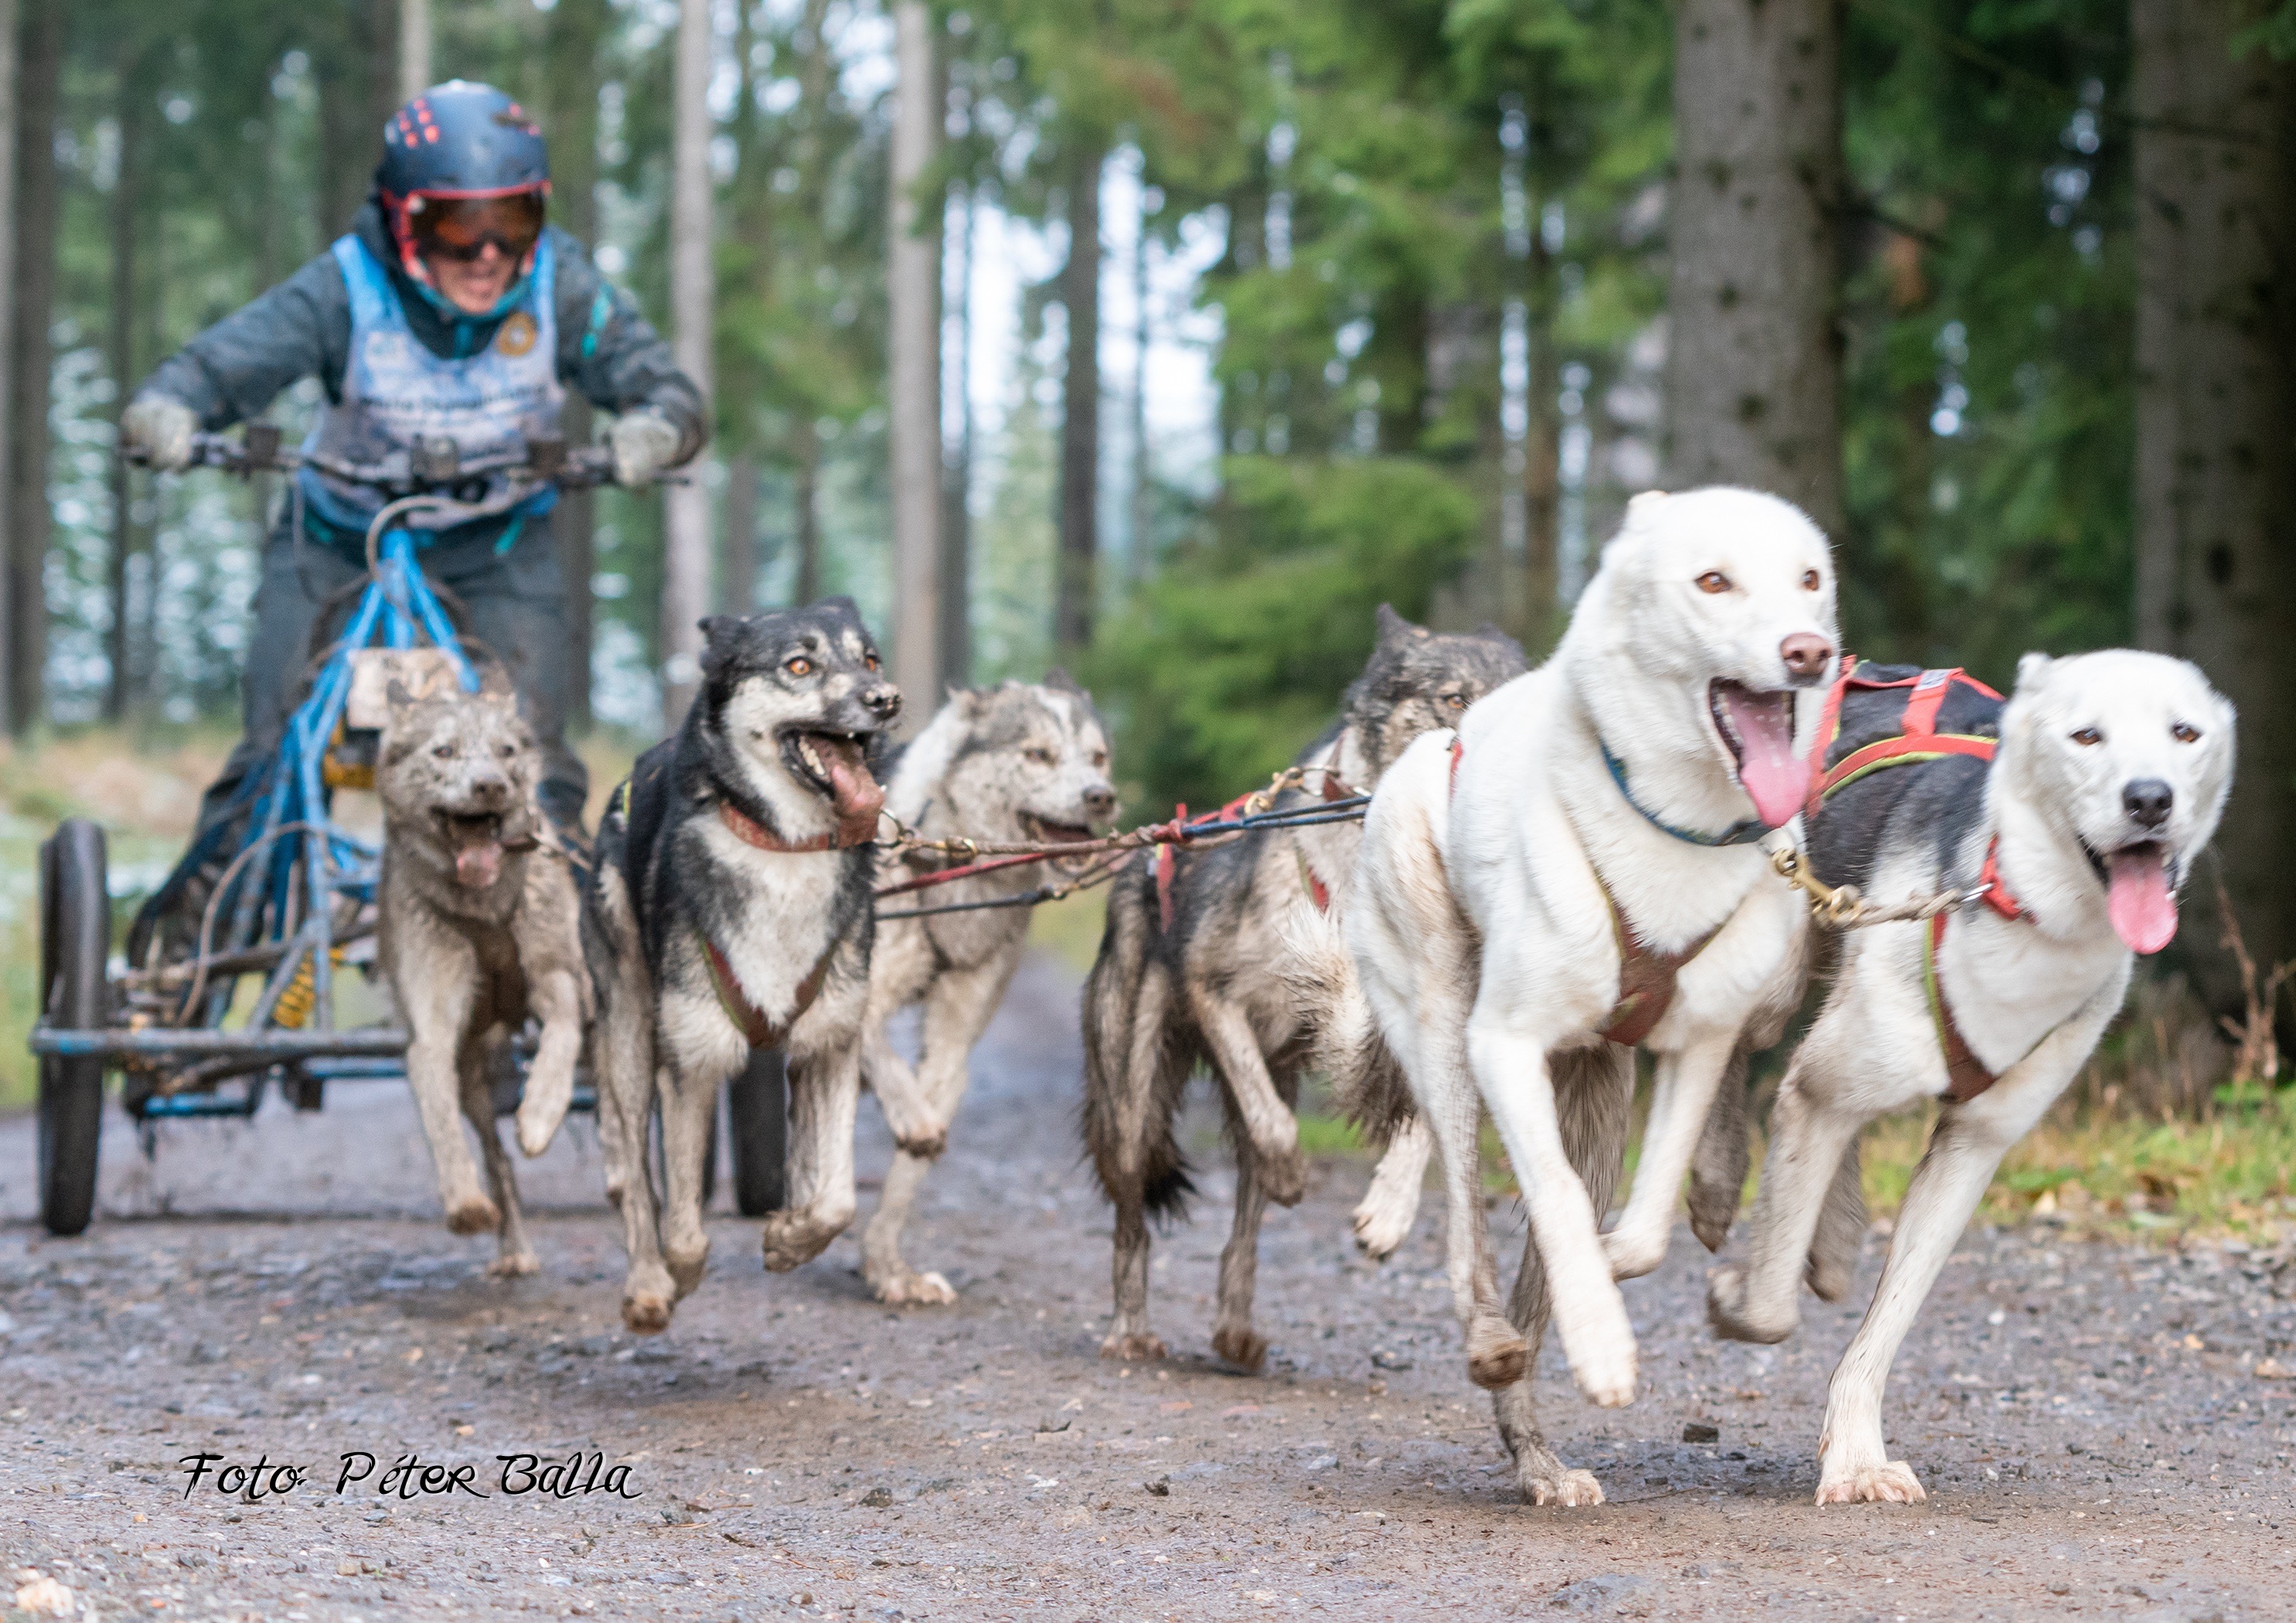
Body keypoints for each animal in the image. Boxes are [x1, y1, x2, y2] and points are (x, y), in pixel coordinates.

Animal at [588, 601, 900, 1331]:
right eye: (799, 665)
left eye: (869, 658)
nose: (886, 699)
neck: (784, 849)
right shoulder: (691, 1062)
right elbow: (682, 1225)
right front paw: (676, 1275)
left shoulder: (830, 1045)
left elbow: (836, 1198)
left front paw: (790, 1238)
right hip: (629, 1040)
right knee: (633, 1175)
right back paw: (647, 1285)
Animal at [858, 674, 1116, 1304]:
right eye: (1038, 754)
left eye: (1098, 757)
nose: (1101, 796)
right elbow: (887, 1070)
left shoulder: (953, 1044)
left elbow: (905, 1175)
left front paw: (889, 1270)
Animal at [1088, 605, 1533, 1368]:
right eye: (1453, 699)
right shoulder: (1215, 991)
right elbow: (1276, 1126)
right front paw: (1298, 1172)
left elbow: (1423, 1130)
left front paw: (1389, 1211)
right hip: (1132, 1106)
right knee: (1134, 1219)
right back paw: (1130, 1326)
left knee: (1242, 1228)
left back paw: (1235, 1328)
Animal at [1340, 486, 1837, 1515]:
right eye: (1713, 580)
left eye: (1811, 577)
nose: (1809, 649)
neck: (1675, 830)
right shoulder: (1505, 1043)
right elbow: (1554, 1201)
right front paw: (1600, 1335)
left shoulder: (1698, 1044)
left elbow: (1641, 1229)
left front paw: (1607, 1272)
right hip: (1446, 1031)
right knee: (1464, 1225)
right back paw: (1494, 1329)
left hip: (1604, 1098)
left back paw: (1536, 1444)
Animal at [1717, 647, 2231, 1515]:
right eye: (2086, 735)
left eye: (2184, 732)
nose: (2150, 797)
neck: (2021, 903)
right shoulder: (1827, 1086)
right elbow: (1769, 1306)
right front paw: (1741, 1292)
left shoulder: (1970, 1147)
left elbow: (1885, 1325)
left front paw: (1854, 1453)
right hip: (1775, 975)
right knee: (1723, 1046)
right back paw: (1711, 1178)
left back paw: (1832, 1235)